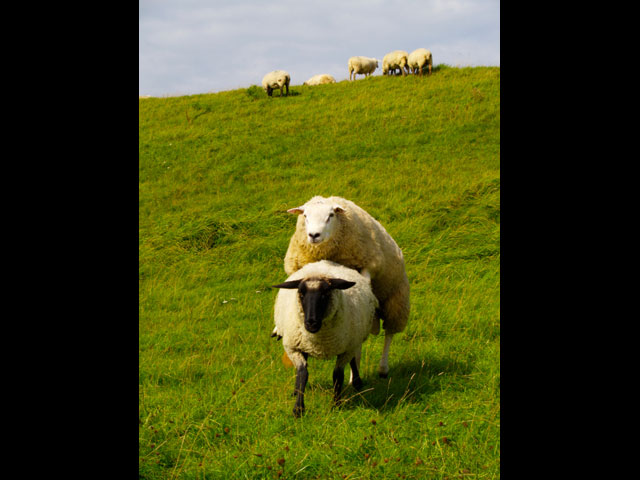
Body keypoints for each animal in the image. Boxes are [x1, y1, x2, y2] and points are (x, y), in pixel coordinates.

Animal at [272, 258, 378, 416]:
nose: (311, 322)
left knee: (353, 359)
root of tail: (322, 263)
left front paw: (336, 404)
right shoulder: (293, 348)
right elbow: (302, 373)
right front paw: (298, 408)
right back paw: (295, 391)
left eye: (325, 294)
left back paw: (357, 382)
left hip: (354, 340)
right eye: (301, 294)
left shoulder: (346, 349)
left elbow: (337, 375)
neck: (319, 341)